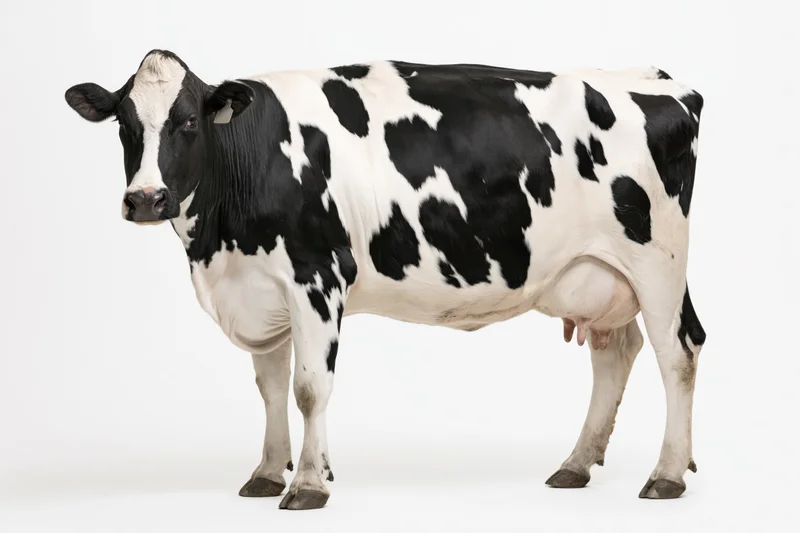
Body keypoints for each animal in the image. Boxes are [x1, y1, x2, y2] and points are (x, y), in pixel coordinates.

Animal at [64, 49, 707, 510]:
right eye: (123, 124)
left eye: (189, 121)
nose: (146, 199)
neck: (220, 242)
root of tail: (662, 81)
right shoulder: (260, 290)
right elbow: (271, 389)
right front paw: (269, 473)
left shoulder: (318, 277)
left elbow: (308, 388)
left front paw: (309, 484)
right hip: (597, 274)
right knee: (615, 352)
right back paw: (576, 464)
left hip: (659, 262)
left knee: (678, 351)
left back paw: (667, 475)